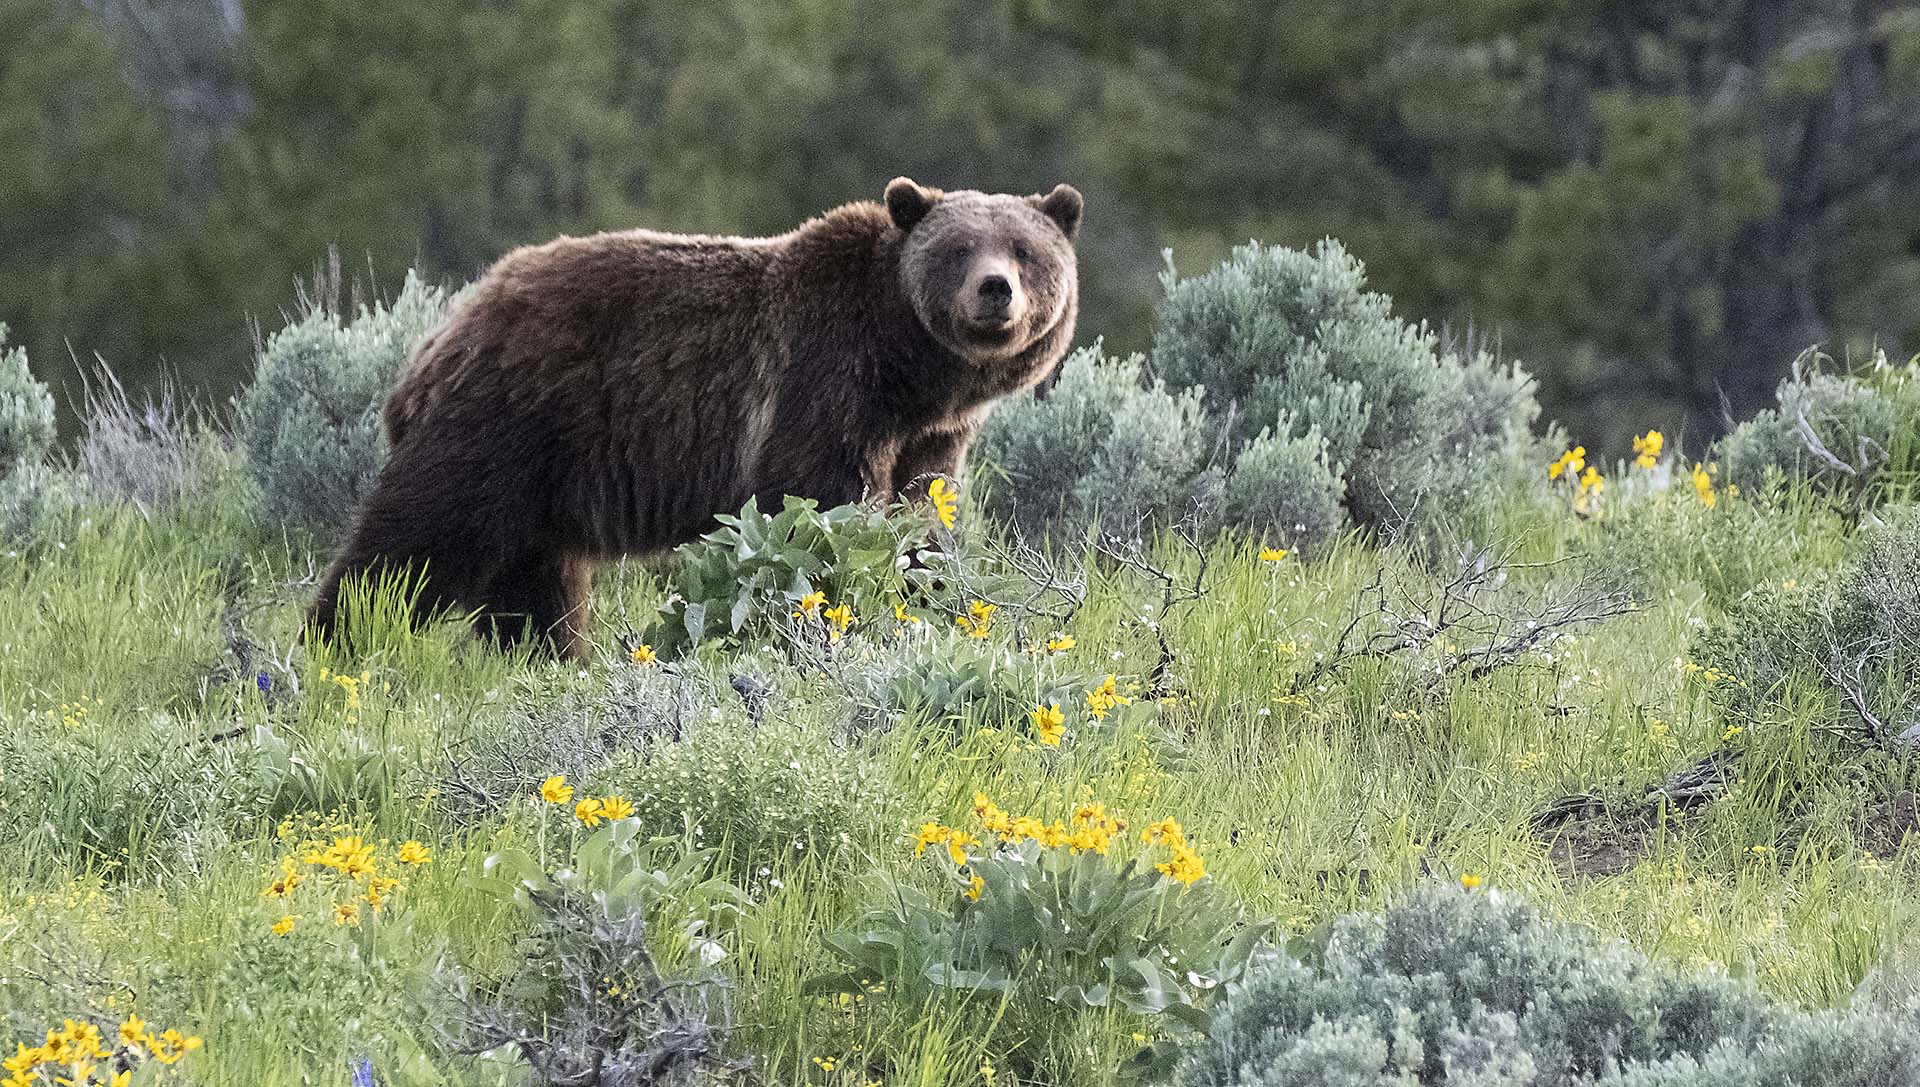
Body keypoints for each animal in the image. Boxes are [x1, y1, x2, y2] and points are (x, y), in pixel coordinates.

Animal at [301, 174, 1082, 660]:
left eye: (1024, 249)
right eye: (958, 248)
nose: (995, 290)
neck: (908, 369)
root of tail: (439, 339)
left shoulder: (931, 436)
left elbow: (924, 518)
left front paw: (933, 593)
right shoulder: (823, 380)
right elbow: (816, 506)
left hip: (541, 479)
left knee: (536, 586)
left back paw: (550, 659)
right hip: (503, 426)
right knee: (418, 542)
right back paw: (335, 639)